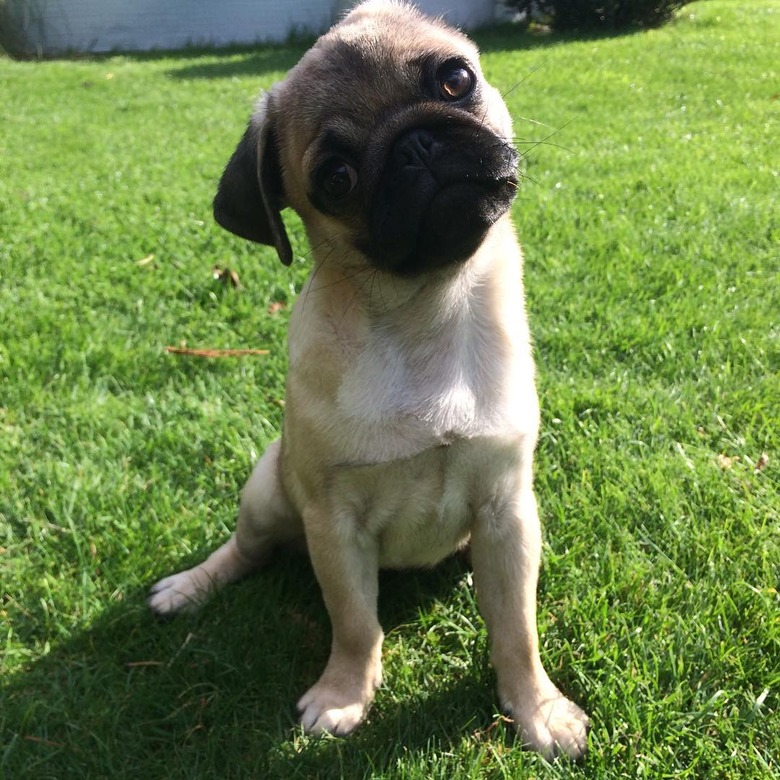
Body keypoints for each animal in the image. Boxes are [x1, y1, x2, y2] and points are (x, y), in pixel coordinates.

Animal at [148, 0, 584, 760]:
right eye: (336, 179)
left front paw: (537, 710)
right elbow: (354, 623)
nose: (416, 145)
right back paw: (187, 587)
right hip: (266, 491)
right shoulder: (334, 523)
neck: (423, 313)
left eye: (455, 79)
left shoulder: (507, 510)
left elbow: (517, 633)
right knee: (243, 551)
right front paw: (343, 695)